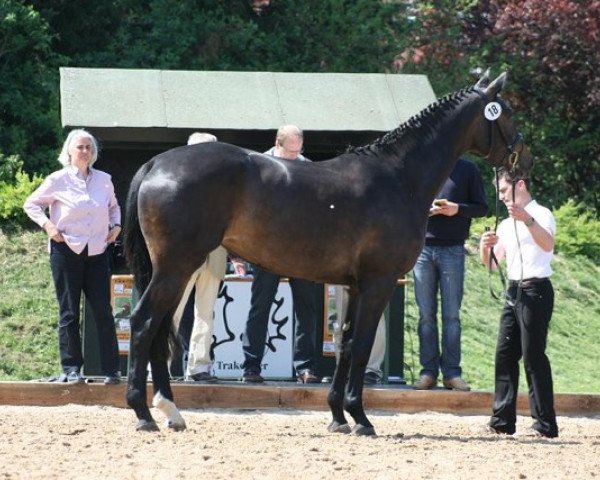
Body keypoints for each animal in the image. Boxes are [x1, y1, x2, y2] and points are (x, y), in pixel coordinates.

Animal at [124, 72, 532, 436]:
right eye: (507, 112)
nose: (523, 159)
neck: (399, 179)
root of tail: (155, 164)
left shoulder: (354, 286)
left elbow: (345, 344)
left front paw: (338, 416)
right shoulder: (379, 282)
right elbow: (362, 345)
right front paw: (361, 419)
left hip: (172, 271)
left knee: (159, 328)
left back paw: (171, 412)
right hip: (177, 268)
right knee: (143, 324)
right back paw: (144, 414)